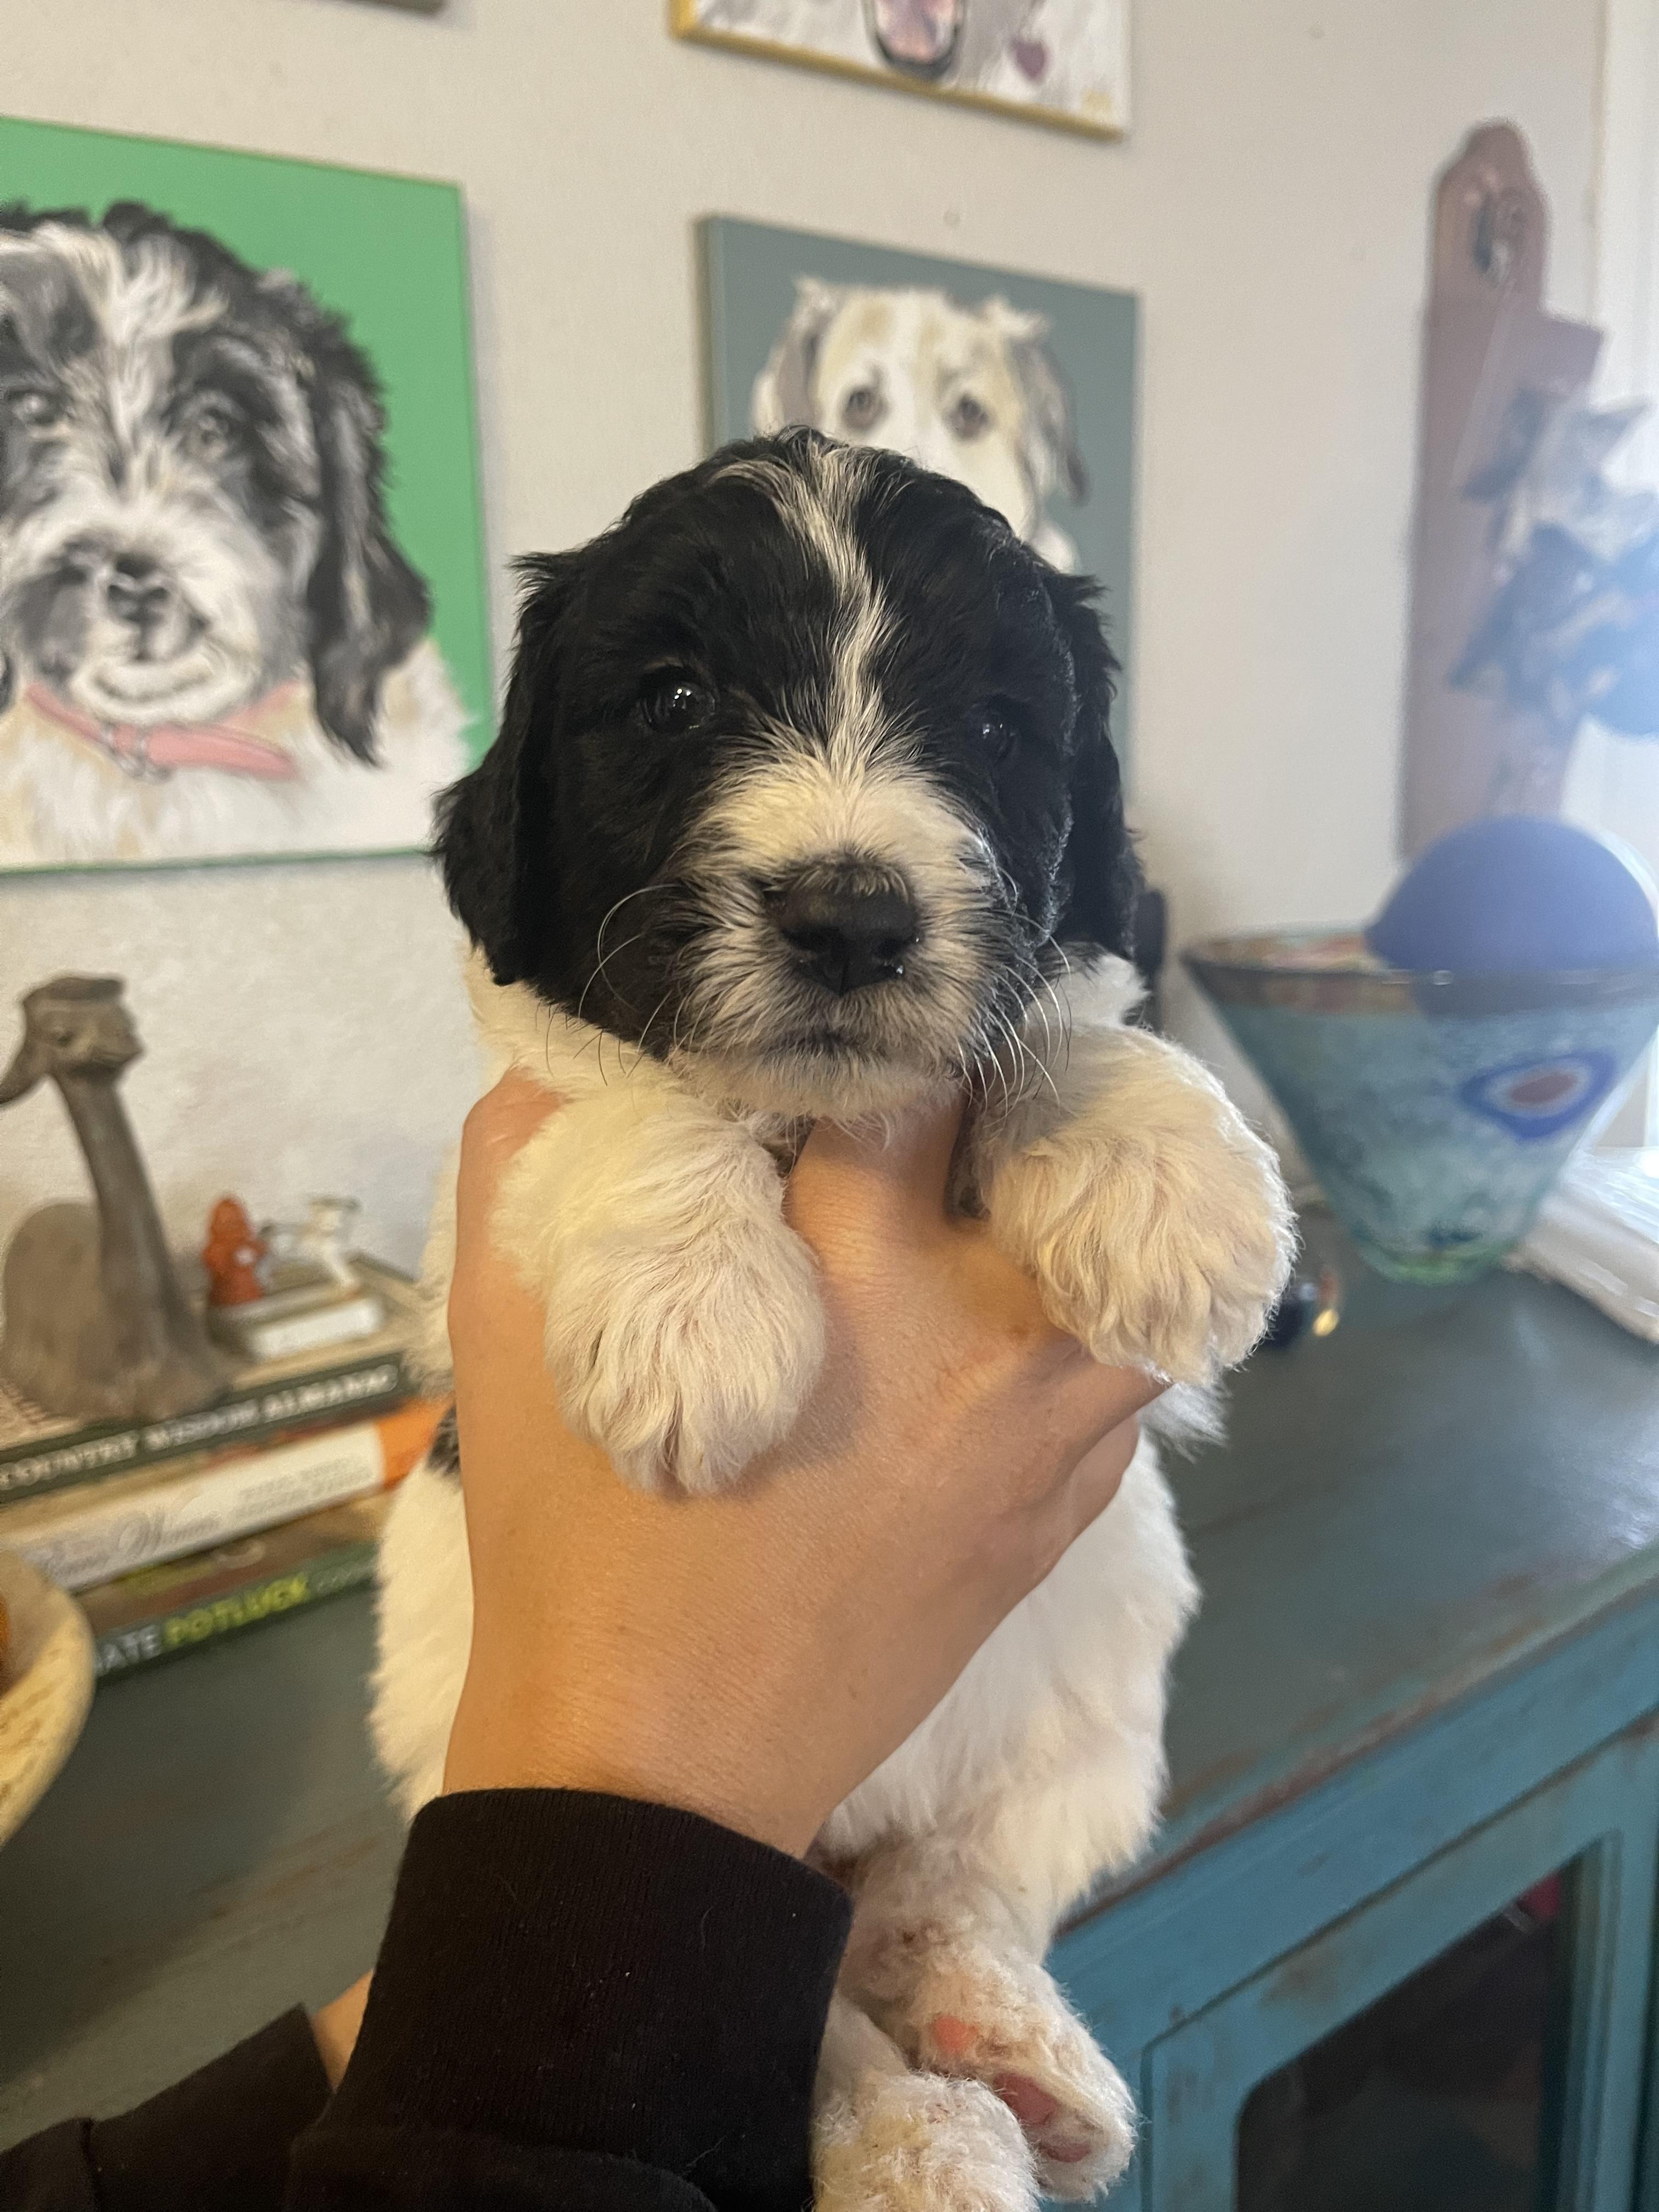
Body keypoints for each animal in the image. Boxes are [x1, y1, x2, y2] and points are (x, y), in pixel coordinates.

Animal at [372, 431, 1292, 2210]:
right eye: (672, 700)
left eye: (997, 727)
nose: (854, 918)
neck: (821, 1115)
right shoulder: (518, 1136)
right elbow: (637, 1102)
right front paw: (694, 1319)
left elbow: (1059, 1028)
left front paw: (1169, 1175)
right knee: (782, 1997)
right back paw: (912, 2139)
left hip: (1093, 1699)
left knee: (940, 1892)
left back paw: (1000, 2044)